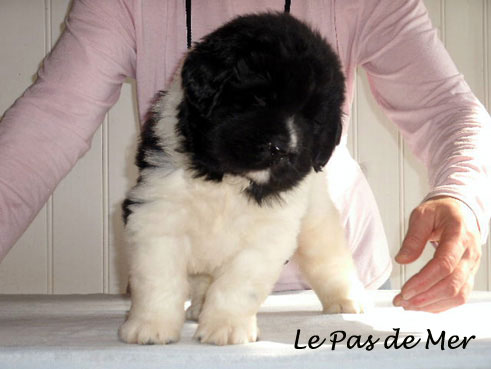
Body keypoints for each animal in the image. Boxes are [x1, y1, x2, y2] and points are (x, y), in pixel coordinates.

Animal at [118, 12, 366, 344]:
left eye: (312, 119)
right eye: (258, 98)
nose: (283, 148)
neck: (226, 181)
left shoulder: (265, 238)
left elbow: (237, 285)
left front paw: (226, 328)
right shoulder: (156, 216)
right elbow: (159, 279)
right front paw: (151, 326)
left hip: (317, 221)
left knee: (330, 260)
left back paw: (345, 300)